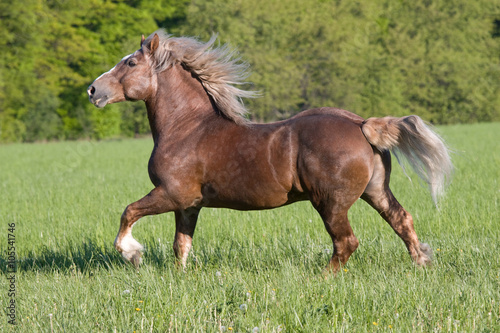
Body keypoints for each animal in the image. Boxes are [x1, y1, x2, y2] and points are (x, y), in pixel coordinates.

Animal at [88, 29, 452, 272]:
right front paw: (179, 277)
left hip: (331, 203)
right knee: (402, 220)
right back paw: (422, 265)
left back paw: (323, 278)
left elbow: (128, 212)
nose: (93, 90)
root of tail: (362, 124)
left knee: (346, 242)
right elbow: (182, 244)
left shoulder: (171, 193)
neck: (187, 128)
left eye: (131, 63)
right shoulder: (189, 204)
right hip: (375, 191)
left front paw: (133, 253)